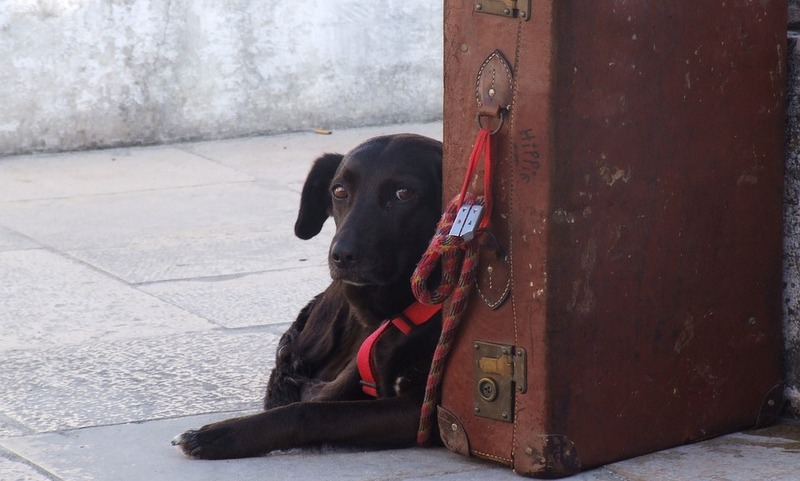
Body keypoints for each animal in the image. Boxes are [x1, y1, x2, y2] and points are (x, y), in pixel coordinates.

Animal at [173, 131, 444, 458]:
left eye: (404, 193)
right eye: (339, 191)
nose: (341, 255)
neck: (405, 310)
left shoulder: (421, 412)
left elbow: (308, 411)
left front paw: (222, 435)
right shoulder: (359, 372)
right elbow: (312, 401)